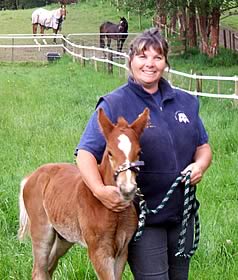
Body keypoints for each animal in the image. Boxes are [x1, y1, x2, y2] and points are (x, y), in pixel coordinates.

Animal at [18, 107, 149, 280]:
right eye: (110, 153)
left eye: (139, 152)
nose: (127, 188)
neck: (112, 212)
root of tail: (32, 176)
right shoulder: (99, 253)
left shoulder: (122, 251)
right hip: (42, 231)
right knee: (39, 270)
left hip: (63, 237)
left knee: (49, 267)